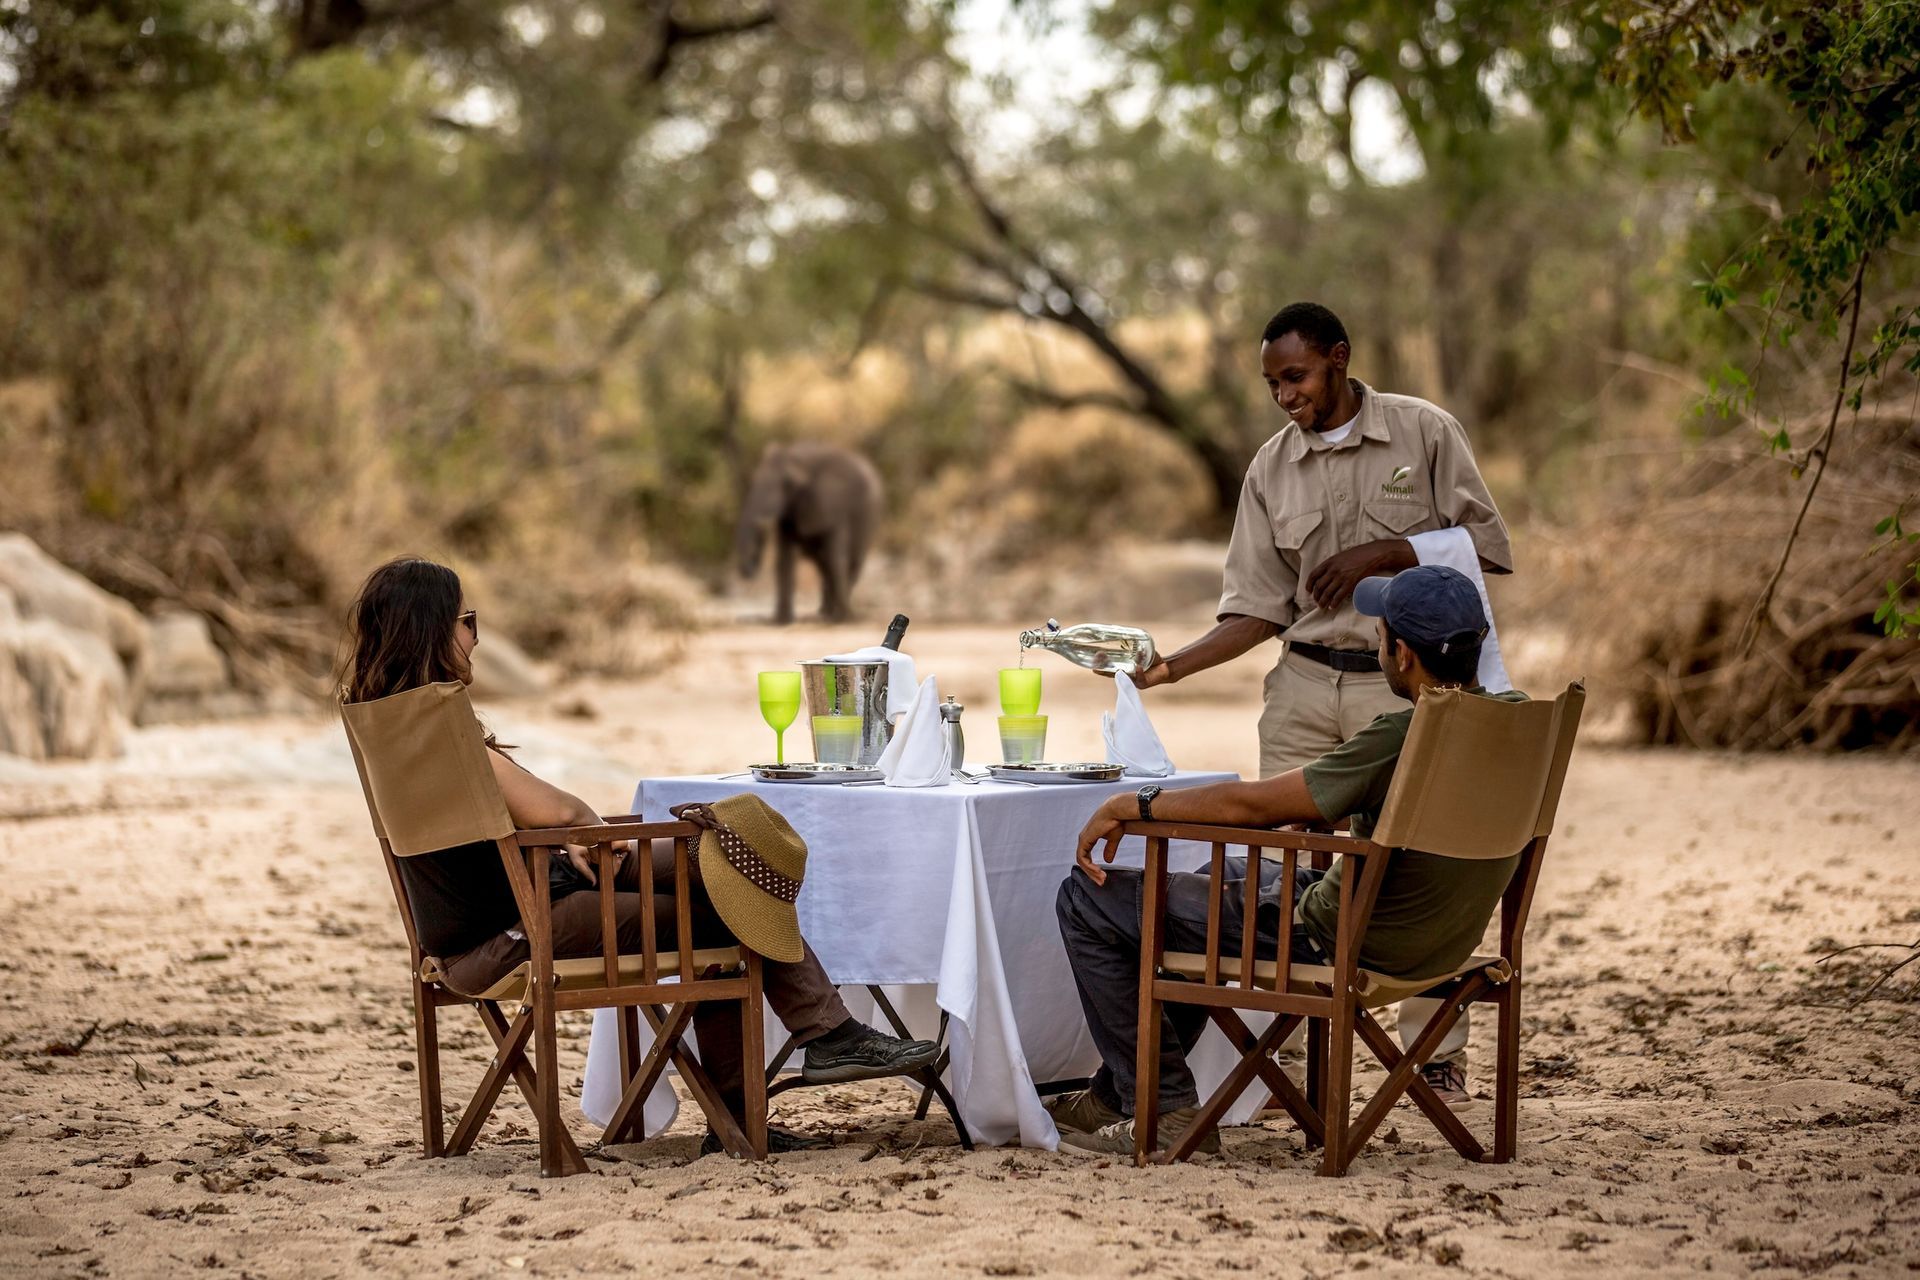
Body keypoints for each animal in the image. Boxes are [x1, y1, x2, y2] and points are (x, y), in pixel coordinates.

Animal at [734, 441, 883, 624]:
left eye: (788, 483)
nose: (749, 571)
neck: (800, 458)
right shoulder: (791, 511)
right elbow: (784, 560)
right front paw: (781, 622)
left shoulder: (835, 505)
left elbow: (836, 557)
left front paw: (843, 619)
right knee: (822, 563)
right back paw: (825, 612)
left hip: (870, 518)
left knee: (849, 562)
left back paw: (835, 614)